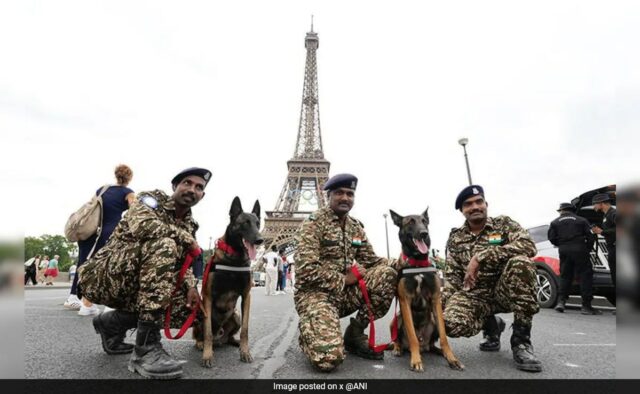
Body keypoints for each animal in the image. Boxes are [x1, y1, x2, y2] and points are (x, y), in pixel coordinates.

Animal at [195, 199, 264, 368]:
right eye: (245, 223)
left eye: (258, 223)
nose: (260, 240)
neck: (235, 258)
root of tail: (219, 339)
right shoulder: (208, 297)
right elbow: (207, 332)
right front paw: (207, 355)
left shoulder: (246, 296)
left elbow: (245, 329)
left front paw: (245, 352)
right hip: (199, 312)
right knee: (202, 335)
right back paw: (201, 343)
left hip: (236, 314)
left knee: (230, 337)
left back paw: (235, 342)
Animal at [388, 209, 462, 372]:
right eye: (410, 222)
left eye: (424, 221)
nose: (424, 233)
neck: (417, 263)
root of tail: (424, 346)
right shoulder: (405, 301)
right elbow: (412, 337)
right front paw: (416, 360)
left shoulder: (435, 299)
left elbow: (444, 337)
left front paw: (452, 358)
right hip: (396, 319)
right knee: (399, 339)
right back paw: (398, 348)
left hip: (433, 321)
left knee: (432, 345)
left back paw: (439, 352)